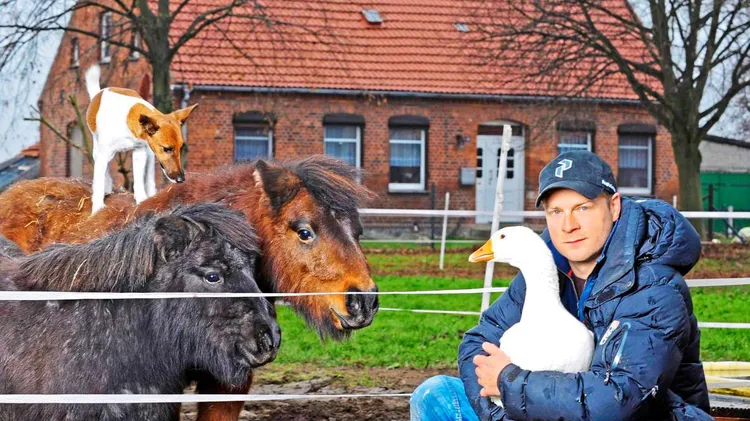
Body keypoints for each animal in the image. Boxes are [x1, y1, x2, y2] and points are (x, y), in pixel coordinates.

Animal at [85, 65, 198, 214]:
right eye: (167, 149)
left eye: (182, 147)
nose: (181, 179)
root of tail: (99, 92)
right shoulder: (104, 154)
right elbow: (99, 181)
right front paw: (97, 208)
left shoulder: (140, 152)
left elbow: (139, 181)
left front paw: (142, 201)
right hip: (98, 149)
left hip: (148, 153)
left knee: (148, 178)